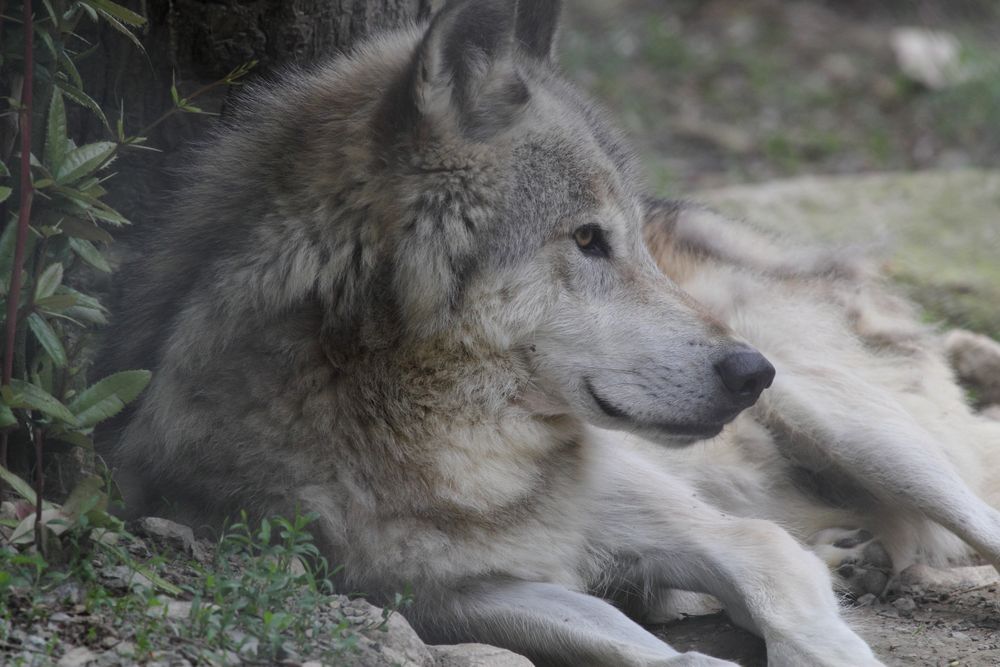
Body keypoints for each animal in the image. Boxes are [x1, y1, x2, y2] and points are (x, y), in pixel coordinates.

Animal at [99, 1, 1000, 667]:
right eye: (589, 238)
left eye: (632, 239)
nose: (752, 372)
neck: (443, 449)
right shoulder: (457, 596)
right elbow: (646, 650)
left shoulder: (729, 537)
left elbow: (782, 595)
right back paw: (849, 555)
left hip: (860, 431)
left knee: (977, 516)